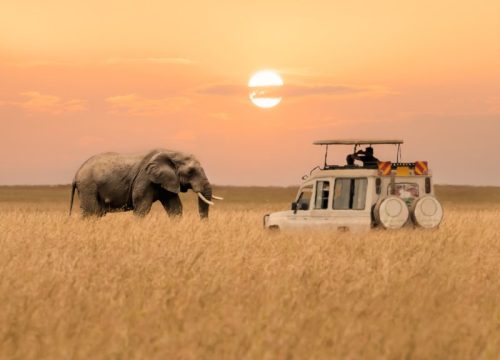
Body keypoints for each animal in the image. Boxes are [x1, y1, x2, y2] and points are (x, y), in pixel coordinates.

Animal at [68, 148, 221, 218]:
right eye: (190, 172)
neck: (171, 153)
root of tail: (76, 174)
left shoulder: (166, 181)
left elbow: (175, 208)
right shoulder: (145, 179)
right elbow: (142, 207)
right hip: (88, 186)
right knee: (92, 213)